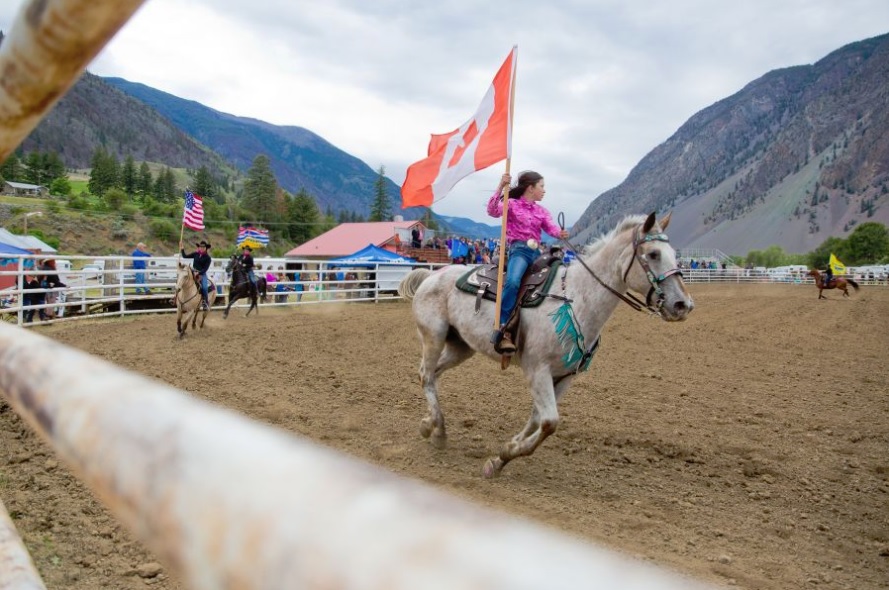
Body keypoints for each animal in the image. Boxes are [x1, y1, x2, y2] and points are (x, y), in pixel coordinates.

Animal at [398, 214, 692, 480]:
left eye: (674, 254)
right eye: (653, 254)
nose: (683, 305)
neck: (576, 297)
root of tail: (431, 276)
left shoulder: (564, 376)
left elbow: (537, 419)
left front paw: (503, 455)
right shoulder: (537, 370)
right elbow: (550, 422)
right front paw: (504, 454)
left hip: (461, 347)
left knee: (432, 374)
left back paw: (430, 427)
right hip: (433, 336)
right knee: (426, 374)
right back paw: (438, 430)